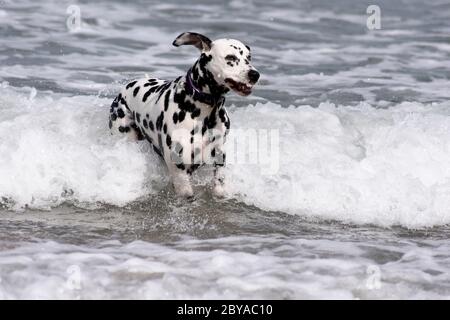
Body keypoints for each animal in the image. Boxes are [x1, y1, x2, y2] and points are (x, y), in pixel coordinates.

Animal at [107, 32, 260, 198]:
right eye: (230, 58)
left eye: (249, 57)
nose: (255, 74)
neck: (204, 113)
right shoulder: (181, 175)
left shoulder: (219, 159)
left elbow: (219, 186)